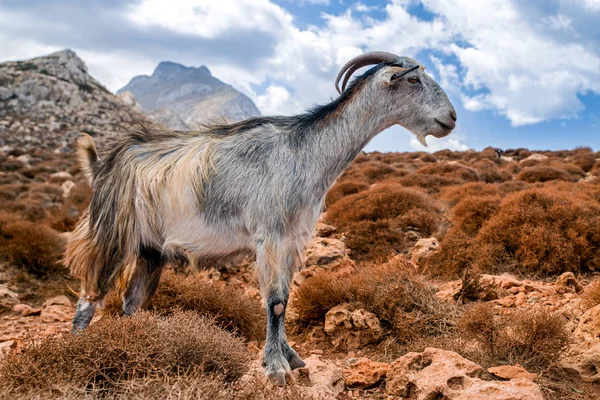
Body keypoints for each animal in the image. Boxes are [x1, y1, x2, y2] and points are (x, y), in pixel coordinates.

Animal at [65, 50, 458, 384]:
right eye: (413, 79)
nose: (452, 118)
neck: (308, 151)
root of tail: (101, 166)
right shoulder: (270, 234)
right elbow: (276, 301)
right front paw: (275, 368)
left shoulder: (293, 238)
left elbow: (285, 296)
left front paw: (291, 357)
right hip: (112, 233)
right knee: (90, 297)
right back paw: (79, 351)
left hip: (152, 250)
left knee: (131, 302)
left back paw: (138, 342)